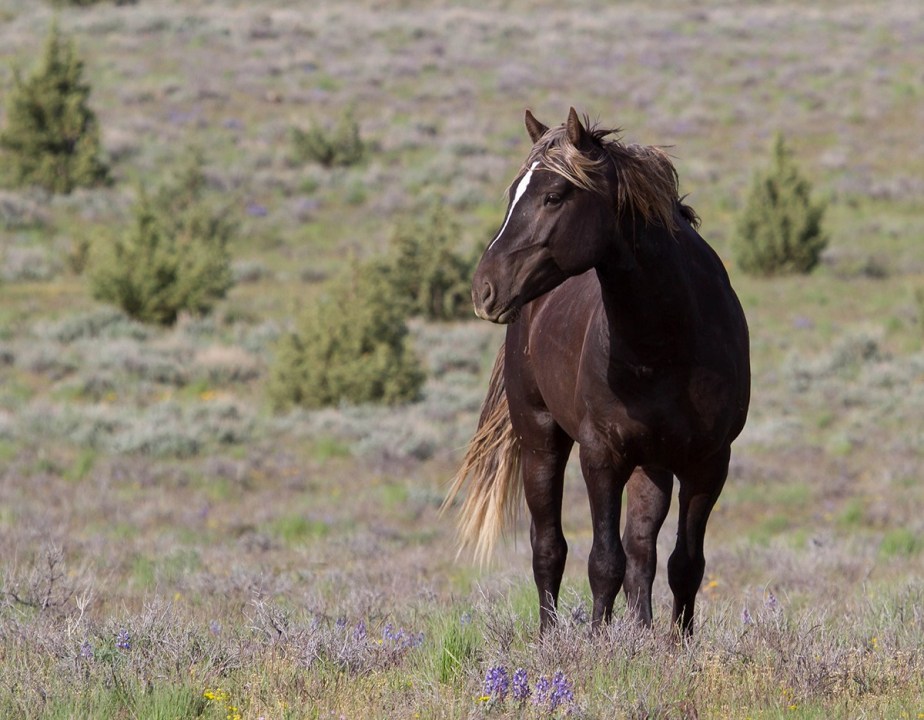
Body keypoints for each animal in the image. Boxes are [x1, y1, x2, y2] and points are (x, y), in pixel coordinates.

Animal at [444, 108, 750, 636]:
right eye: (513, 193)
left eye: (553, 195)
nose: (484, 289)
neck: (668, 339)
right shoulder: (601, 456)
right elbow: (604, 561)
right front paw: (598, 642)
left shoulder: (709, 463)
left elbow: (683, 565)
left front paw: (676, 644)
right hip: (541, 441)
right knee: (548, 547)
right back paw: (549, 638)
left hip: (653, 465)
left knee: (643, 553)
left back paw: (642, 630)